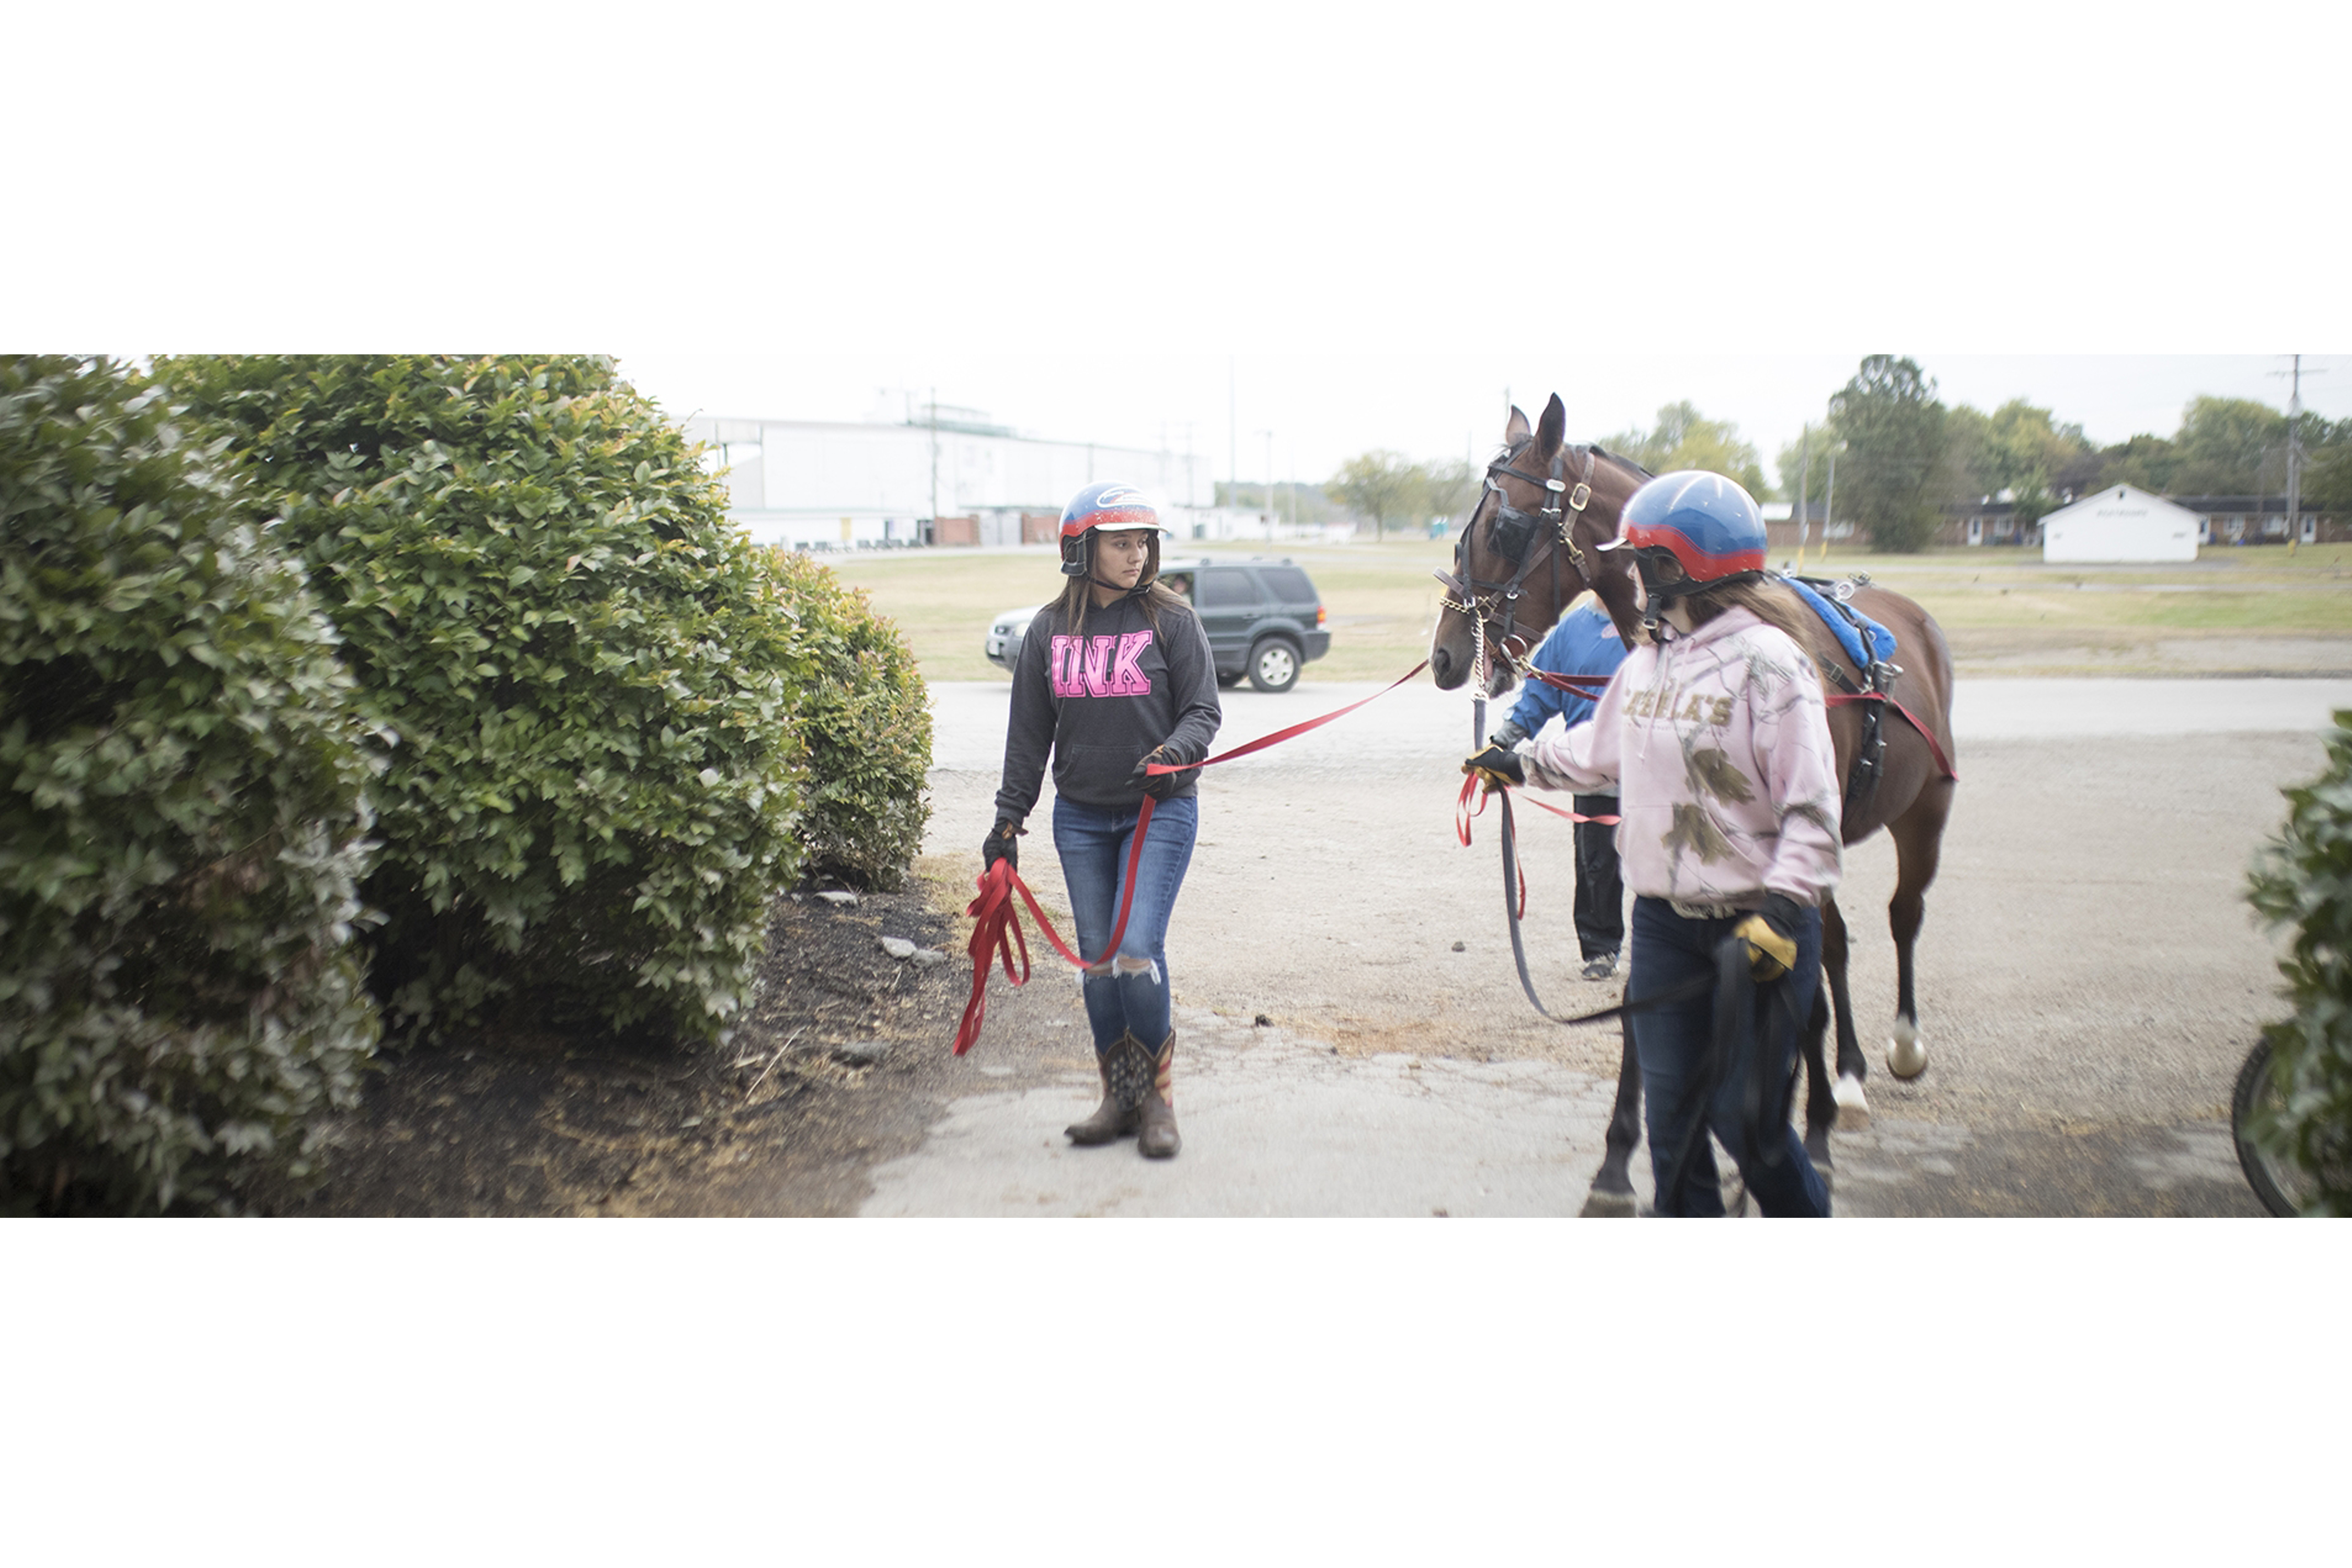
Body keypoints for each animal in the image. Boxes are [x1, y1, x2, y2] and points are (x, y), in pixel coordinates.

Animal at [1430, 393, 1966, 1213]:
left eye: (1503, 527)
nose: (1446, 653)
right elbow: (1651, 1002)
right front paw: (1620, 1161)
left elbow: (1791, 994)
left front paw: (1801, 1140)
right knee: (1839, 948)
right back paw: (1846, 1075)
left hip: (1923, 814)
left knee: (1902, 917)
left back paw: (1889, 1058)